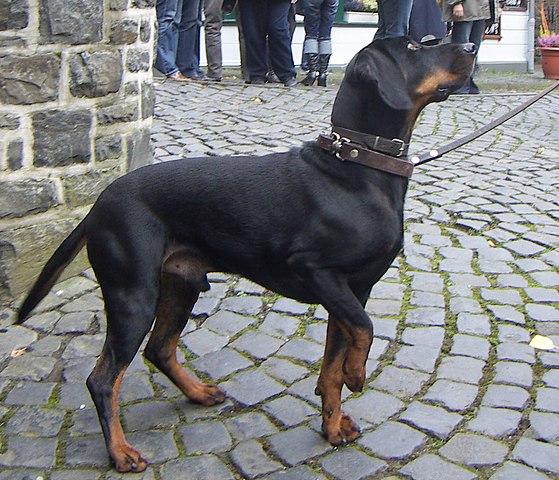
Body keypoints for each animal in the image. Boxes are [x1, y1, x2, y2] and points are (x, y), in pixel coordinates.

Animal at [15, 38, 474, 472]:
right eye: (413, 46)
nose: (472, 46)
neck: (358, 170)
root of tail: (96, 208)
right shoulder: (317, 272)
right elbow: (364, 331)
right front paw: (357, 374)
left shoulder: (352, 292)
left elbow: (331, 367)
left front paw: (332, 424)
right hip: (134, 296)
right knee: (103, 379)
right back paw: (121, 453)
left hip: (181, 284)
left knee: (159, 349)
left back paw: (198, 393)